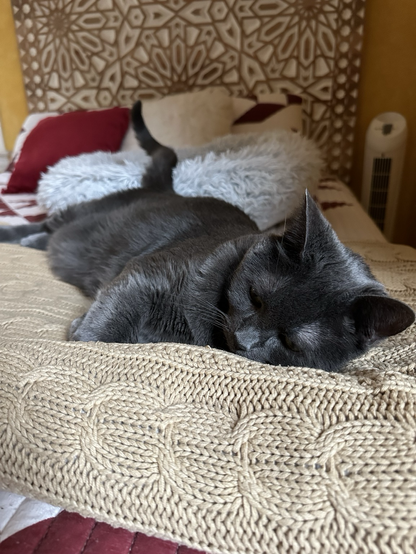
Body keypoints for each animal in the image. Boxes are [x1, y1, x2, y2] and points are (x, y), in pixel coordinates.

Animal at [1, 102, 414, 370]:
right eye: (255, 296)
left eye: (291, 342)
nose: (245, 340)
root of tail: (166, 188)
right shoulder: (142, 277)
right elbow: (105, 326)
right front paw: (83, 335)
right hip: (81, 214)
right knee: (44, 225)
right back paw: (14, 235)